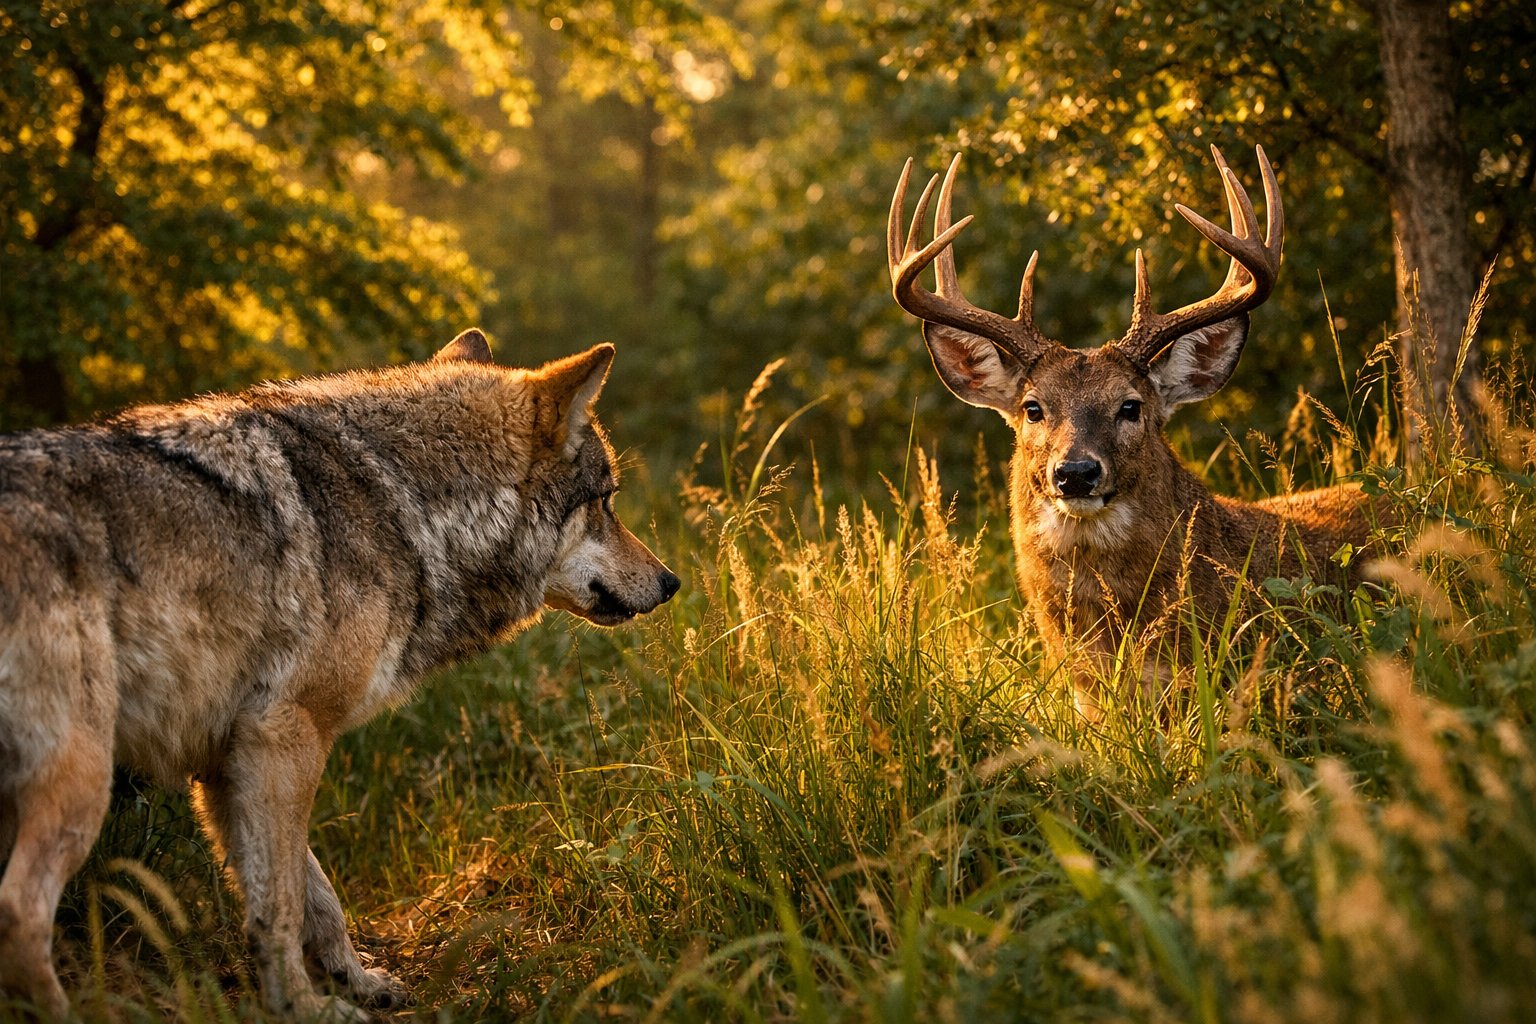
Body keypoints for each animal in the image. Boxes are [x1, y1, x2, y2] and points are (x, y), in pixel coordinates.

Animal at [0, 330, 679, 1020]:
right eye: (606, 502)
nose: (671, 581)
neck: (408, 507)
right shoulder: (286, 735)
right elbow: (281, 905)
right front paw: (304, 1006)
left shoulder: (228, 764)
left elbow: (312, 894)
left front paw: (355, 979)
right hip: (83, 779)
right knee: (18, 912)